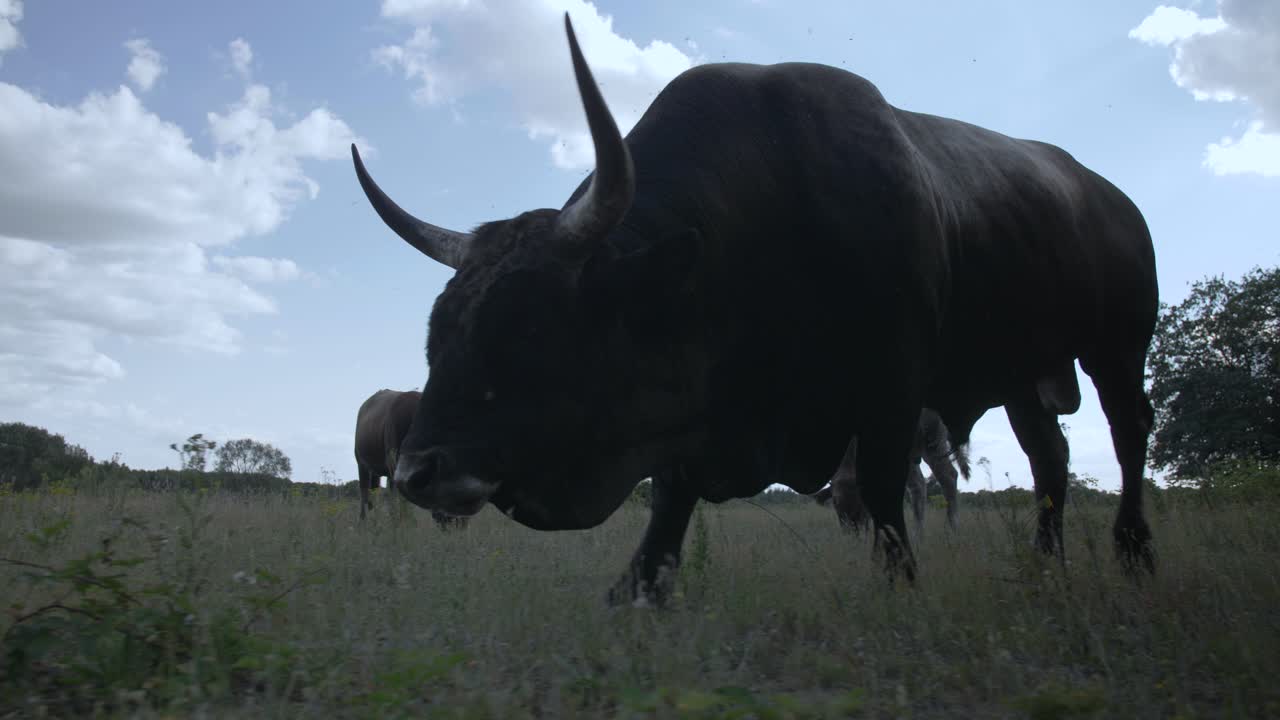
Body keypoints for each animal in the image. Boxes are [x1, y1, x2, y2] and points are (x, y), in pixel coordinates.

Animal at [812, 409, 970, 533]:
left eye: (862, 500)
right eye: (835, 502)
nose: (854, 530)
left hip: (932, 441)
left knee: (947, 476)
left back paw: (951, 530)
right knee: (918, 485)